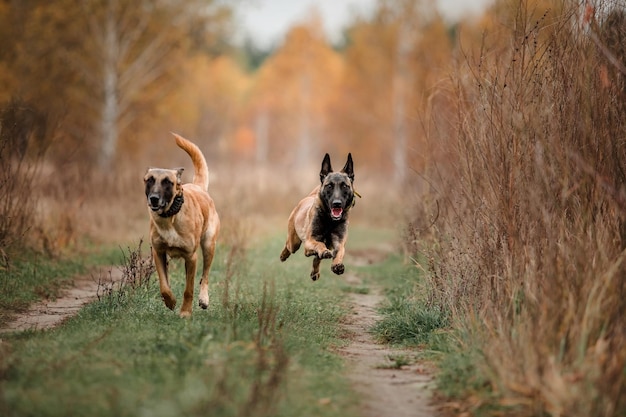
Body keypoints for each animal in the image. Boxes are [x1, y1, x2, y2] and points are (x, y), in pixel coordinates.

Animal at [144, 132, 219, 316]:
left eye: (167, 182)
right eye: (149, 180)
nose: (154, 198)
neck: (170, 217)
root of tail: (198, 187)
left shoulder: (191, 257)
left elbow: (189, 289)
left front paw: (185, 312)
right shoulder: (158, 253)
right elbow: (164, 285)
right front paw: (170, 301)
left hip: (209, 245)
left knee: (205, 276)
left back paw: (204, 299)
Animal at [280, 154, 354, 282]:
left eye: (345, 186)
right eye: (329, 186)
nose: (337, 204)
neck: (330, 221)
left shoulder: (339, 242)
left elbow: (339, 251)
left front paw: (337, 264)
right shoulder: (310, 241)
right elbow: (319, 244)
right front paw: (323, 251)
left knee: (316, 258)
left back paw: (315, 272)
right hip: (294, 243)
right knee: (289, 246)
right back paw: (283, 255)